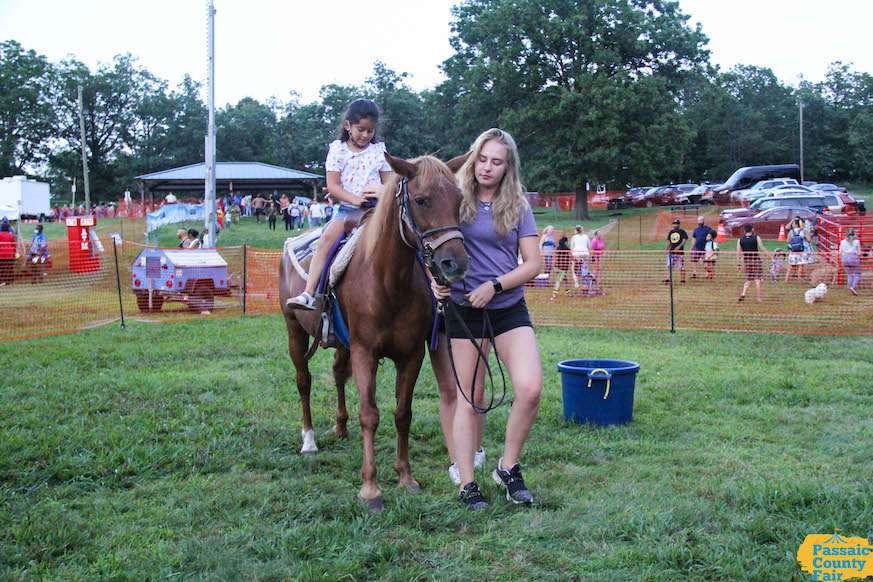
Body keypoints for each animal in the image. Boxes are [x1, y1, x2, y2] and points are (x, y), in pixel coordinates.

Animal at [280, 153, 470, 512]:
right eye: (421, 200)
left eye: (459, 201)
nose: (455, 263)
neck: (387, 281)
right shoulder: (365, 352)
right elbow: (369, 414)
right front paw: (370, 488)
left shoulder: (411, 355)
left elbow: (402, 414)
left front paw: (406, 477)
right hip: (294, 331)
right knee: (303, 382)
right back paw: (309, 440)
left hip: (342, 344)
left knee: (338, 374)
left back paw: (340, 427)